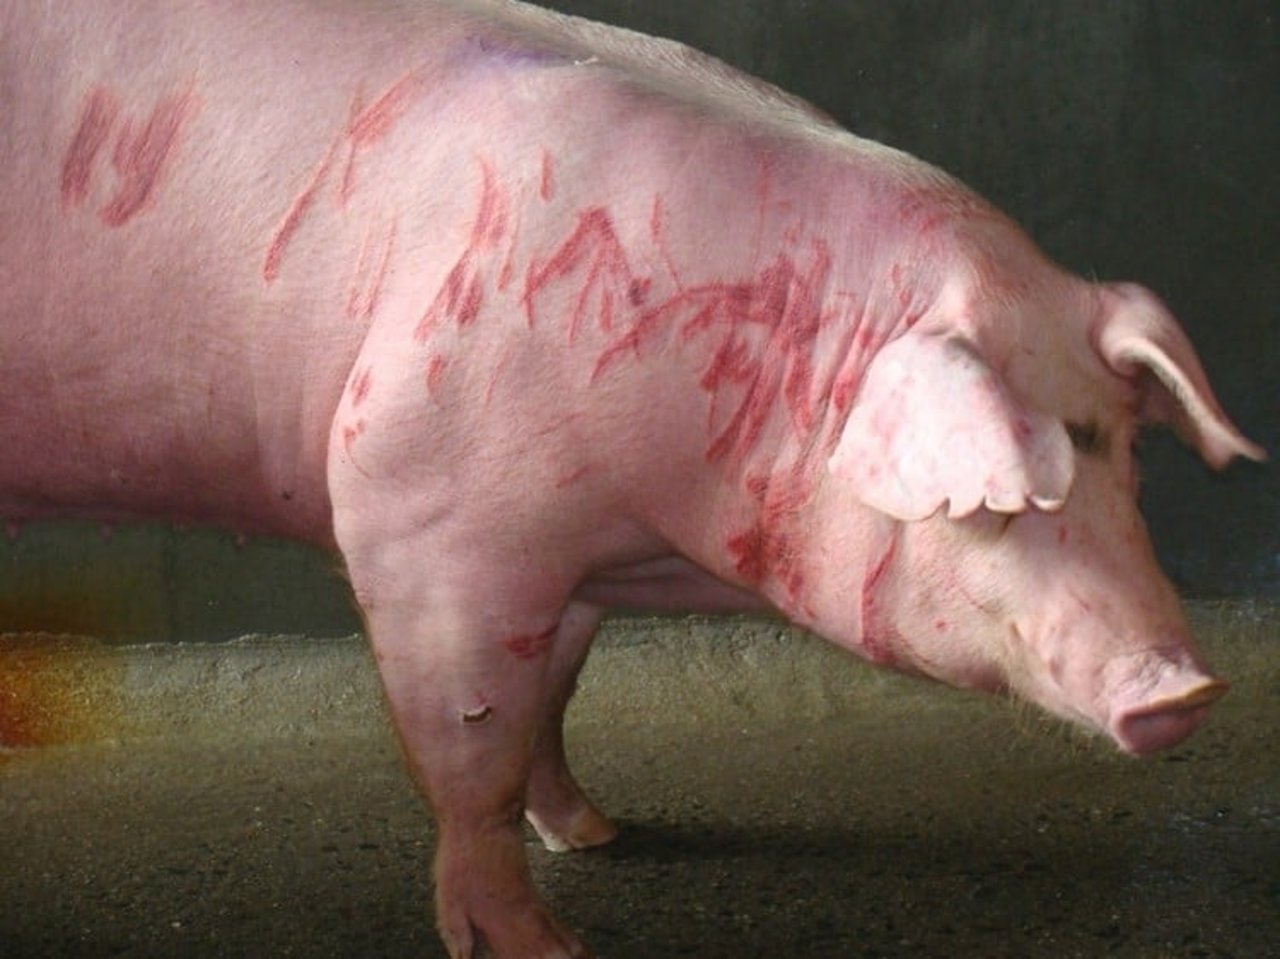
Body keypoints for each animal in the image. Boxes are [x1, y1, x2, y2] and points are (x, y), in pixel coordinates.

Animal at [0, 1, 1259, 957]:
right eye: (994, 501)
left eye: (1118, 456)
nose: (1188, 683)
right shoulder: (418, 519)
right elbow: (471, 750)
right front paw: (545, 945)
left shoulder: (576, 558)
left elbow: (551, 700)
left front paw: (599, 832)